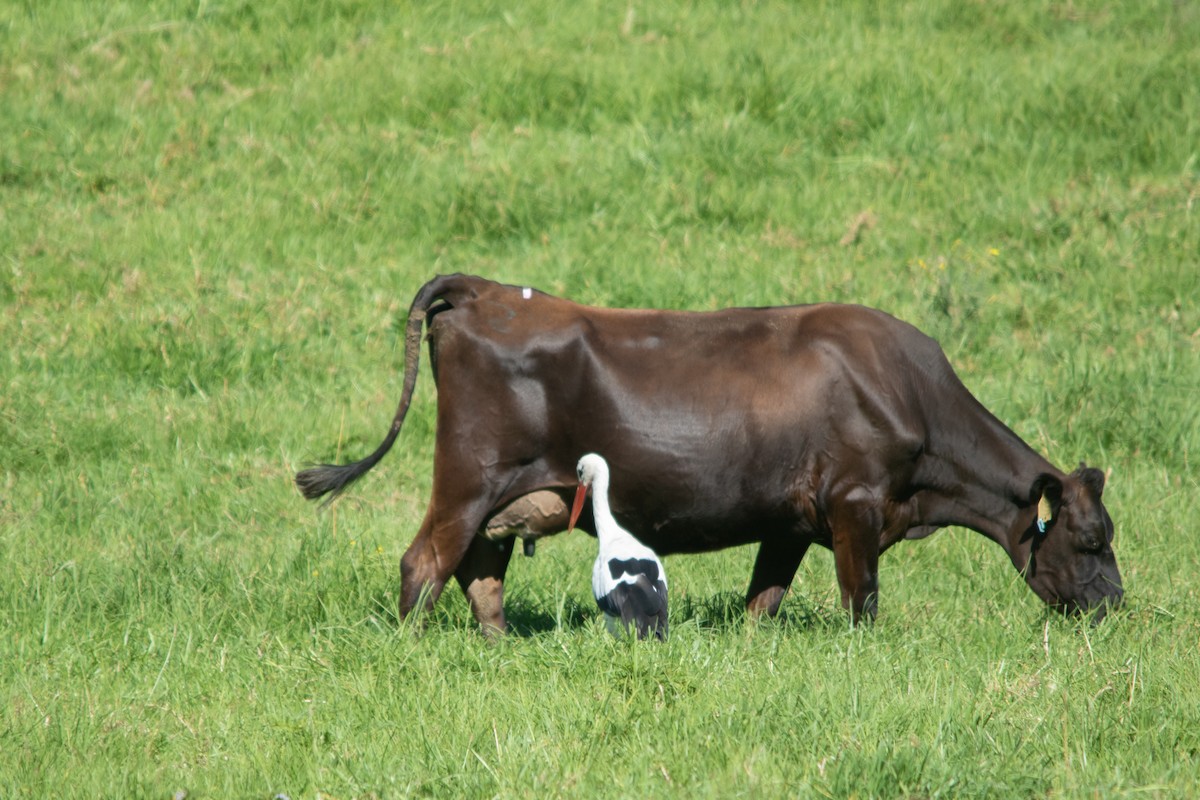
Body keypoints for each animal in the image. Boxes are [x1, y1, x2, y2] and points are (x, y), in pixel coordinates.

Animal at [297, 273, 1123, 633]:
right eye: (1088, 539)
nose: (1116, 603)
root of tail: (485, 289)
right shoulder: (855, 505)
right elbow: (862, 601)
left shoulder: (792, 521)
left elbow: (764, 599)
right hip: (467, 479)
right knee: (425, 565)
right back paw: (410, 649)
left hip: (506, 497)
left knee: (481, 576)